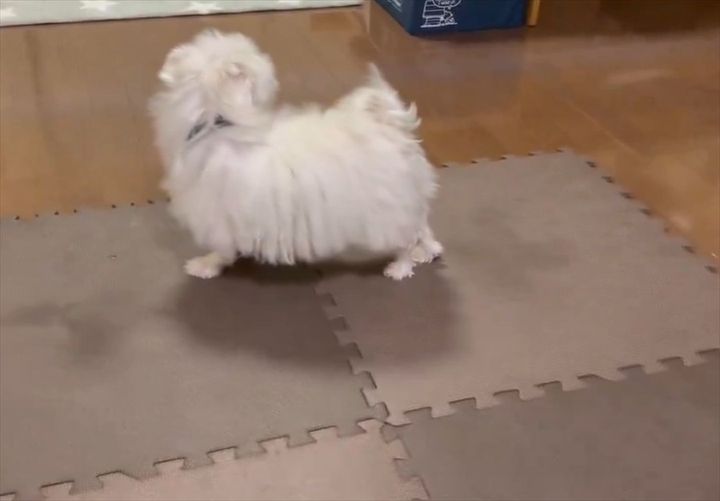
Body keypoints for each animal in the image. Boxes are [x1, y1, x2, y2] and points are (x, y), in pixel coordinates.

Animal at [149, 30, 442, 280]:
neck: (219, 121)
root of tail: (390, 125)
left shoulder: (221, 214)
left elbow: (222, 247)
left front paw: (206, 265)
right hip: (407, 197)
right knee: (421, 225)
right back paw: (429, 250)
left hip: (388, 209)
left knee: (405, 238)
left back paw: (400, 267)